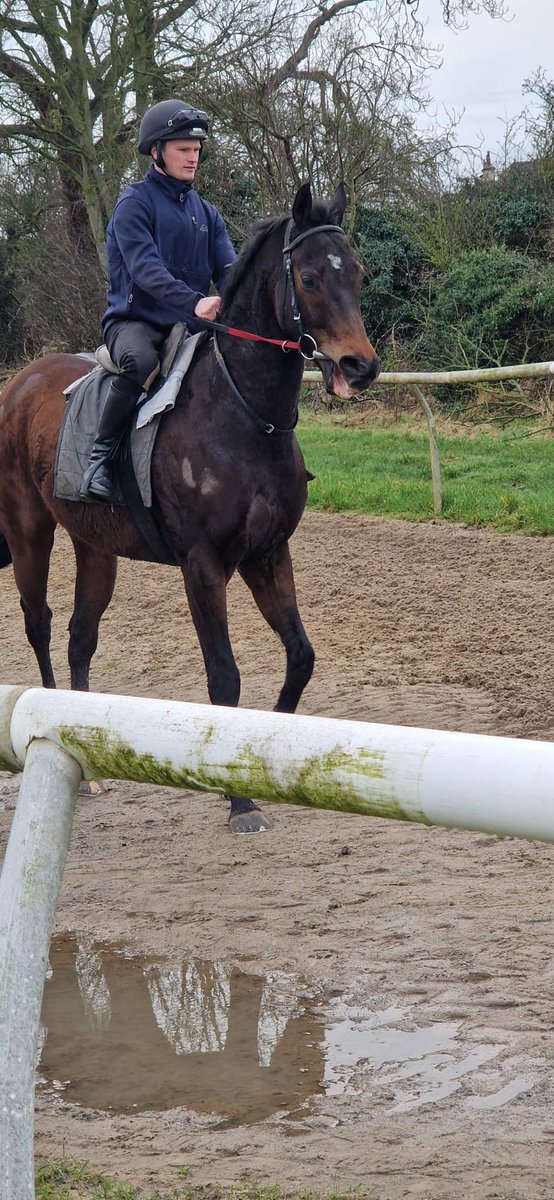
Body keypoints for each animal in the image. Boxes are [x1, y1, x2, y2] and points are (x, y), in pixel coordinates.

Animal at [0, 180, 378, 835]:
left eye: (355, 272)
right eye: (308, 277)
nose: (360, 366)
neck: (245, 416)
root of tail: (21, 381)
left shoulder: (268, 554)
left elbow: (301, 658)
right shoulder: (203, 566)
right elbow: (223, 678)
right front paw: (241, 801)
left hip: (95, 547)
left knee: (80, 634)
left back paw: (87, 764)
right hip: (29, 533)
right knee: (39, 623)